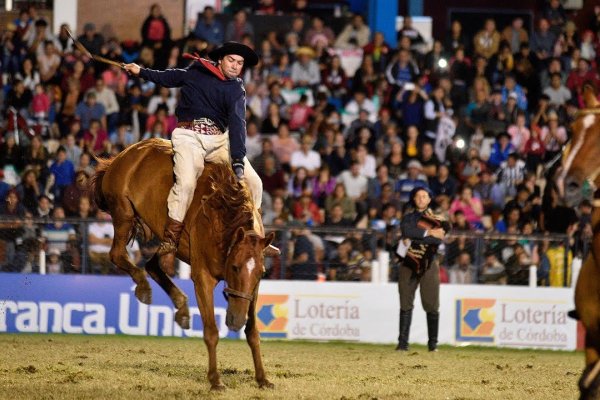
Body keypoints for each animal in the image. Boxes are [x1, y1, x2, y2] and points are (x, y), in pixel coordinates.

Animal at [89, 138, 274, 390]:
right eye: (235, 267)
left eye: (261, 272)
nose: (235, 321)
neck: (222, 218)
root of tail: (122, 156)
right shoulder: (202, 278)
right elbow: (211, 331)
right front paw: (215, 380)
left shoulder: (252, 289)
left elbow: (253, 331)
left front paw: (262, 378)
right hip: (123, 213)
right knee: (118, 255)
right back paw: (143, 287)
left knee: (153, 265)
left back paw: (181, 306)